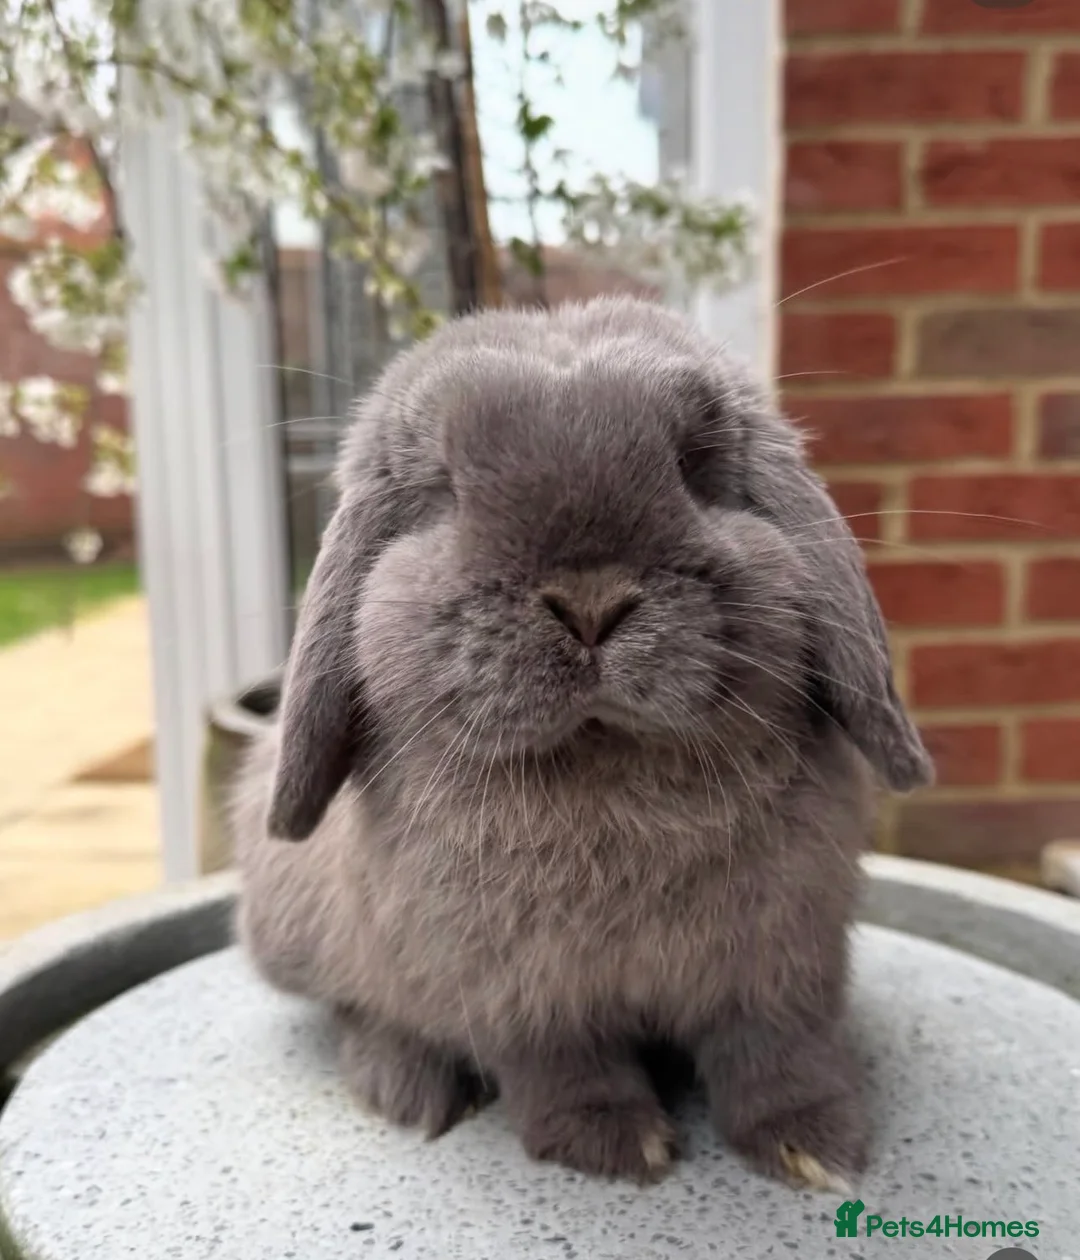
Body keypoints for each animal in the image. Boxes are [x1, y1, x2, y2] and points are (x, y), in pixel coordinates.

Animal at [231, 296, 933, 1191]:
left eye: (696, 466)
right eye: (445, 490)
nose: (590, 602)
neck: (607, 767)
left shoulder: (785, 962)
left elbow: (779, 1053)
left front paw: (816, 1147)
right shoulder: (523, 997)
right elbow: (563, 1066)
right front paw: (615, 1145)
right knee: (359, 1006)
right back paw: (408, 1085)